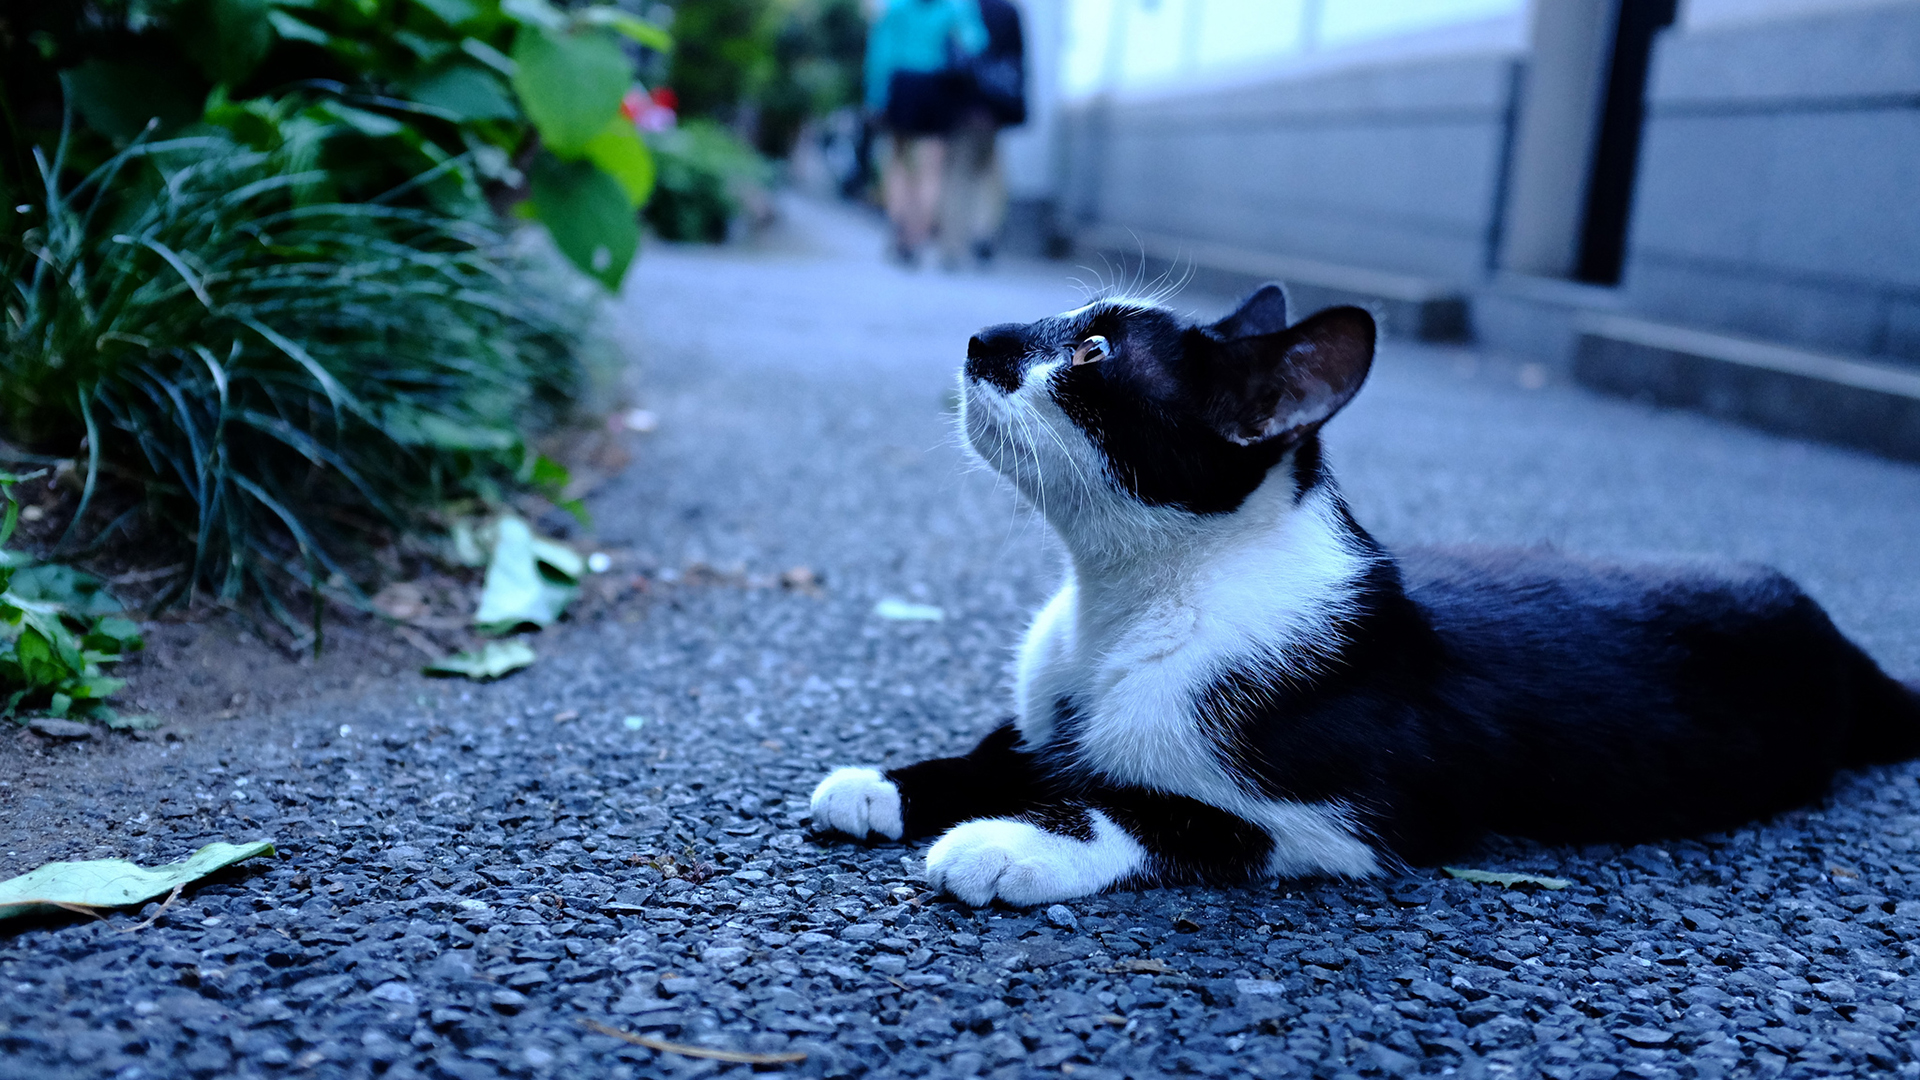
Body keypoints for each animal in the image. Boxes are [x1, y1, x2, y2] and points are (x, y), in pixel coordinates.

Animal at [806, 284, 1920, 899]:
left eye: (1092, 354)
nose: (979, 339)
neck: (1128, 599)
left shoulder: (1351, 817)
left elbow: (1158, 814)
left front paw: (1012, 845)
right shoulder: (1051, 702)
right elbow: (1015, 745)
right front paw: (885, 785)